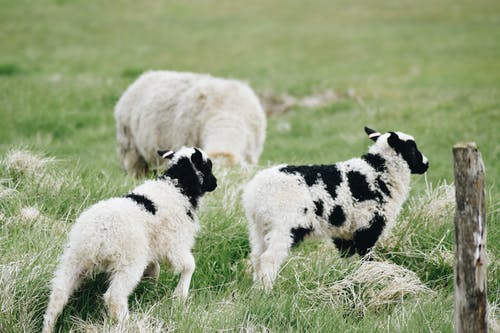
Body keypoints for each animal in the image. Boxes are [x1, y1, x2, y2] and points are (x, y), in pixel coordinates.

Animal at [41, 147, 217, 330]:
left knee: (58, 293)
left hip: (75, 258)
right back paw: (128, 323)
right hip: (128, 261)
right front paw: (180, 296)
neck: (179, 185)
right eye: (208, 166)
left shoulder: (153, 248)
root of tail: (98, 234)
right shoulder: (175, 245)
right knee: (114, 297)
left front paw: (150, 289)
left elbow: (155, 269)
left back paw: (48, 327)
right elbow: (189, 266)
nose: (215, 183)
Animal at [242, 126, 430, 290]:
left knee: (256, 257)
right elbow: (366, 258)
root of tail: (256, 193)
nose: (426, 164)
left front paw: (348, 279)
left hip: (258, 228)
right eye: (412, 149)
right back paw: (266, 290)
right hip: (283, 225)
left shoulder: (345, 233)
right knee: (269, 258)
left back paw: (256, 288)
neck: (379, 172)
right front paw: (372, 277)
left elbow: (346, 258)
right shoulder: (367, 228)